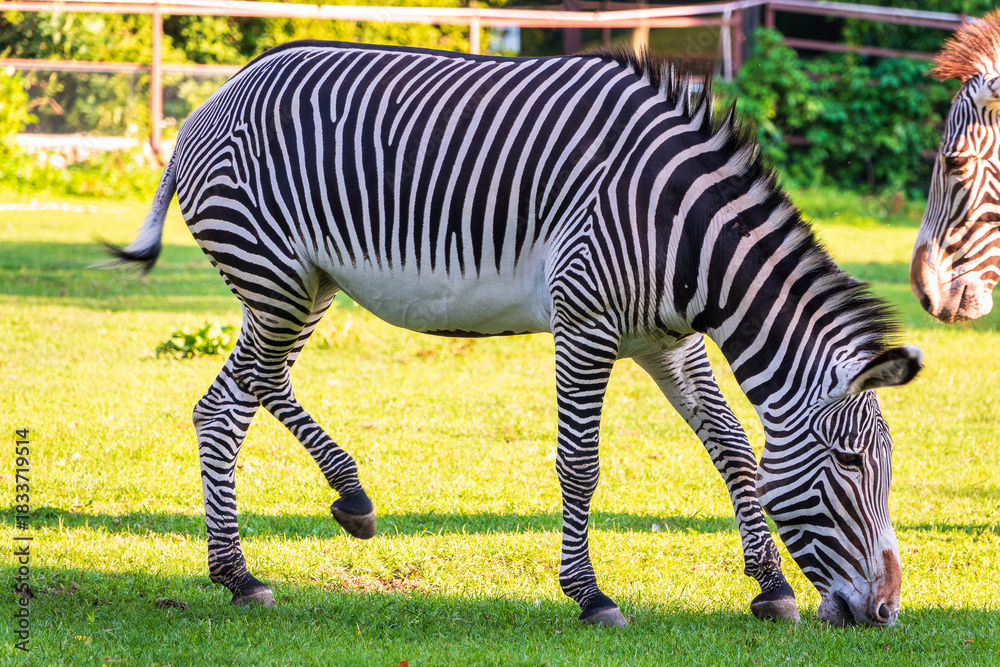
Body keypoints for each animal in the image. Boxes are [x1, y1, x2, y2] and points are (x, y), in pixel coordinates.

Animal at [108, 41, 923, 627]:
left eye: (884, 464)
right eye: (850, 462)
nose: (887, 612)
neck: (686, 232)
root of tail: (216, 98)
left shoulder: (666, 339)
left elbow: (730, 448)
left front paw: (770, 586)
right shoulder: (584, 321)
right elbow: (580, 463)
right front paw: (590, 594)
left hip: (304, 285)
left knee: (232, 398)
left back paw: (277, 547)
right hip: (274, 276)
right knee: (244, 392)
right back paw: (296, 534)